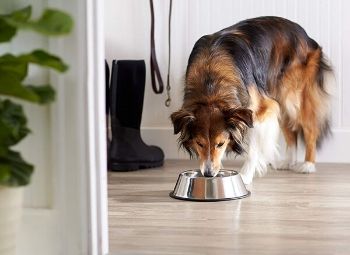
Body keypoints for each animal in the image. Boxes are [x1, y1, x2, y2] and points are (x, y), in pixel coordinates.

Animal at [171, 15, 332, 183]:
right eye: (199, 143)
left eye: (221, 144)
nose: (208, 174)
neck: (211, 82)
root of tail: (306, 36)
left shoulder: (258, 111)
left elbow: (253, 149)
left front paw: (245, 176)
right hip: (279, 98)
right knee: (290, 130)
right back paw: (289, 161)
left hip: (293, 97)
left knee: (310, 128)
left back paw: (308, 164)